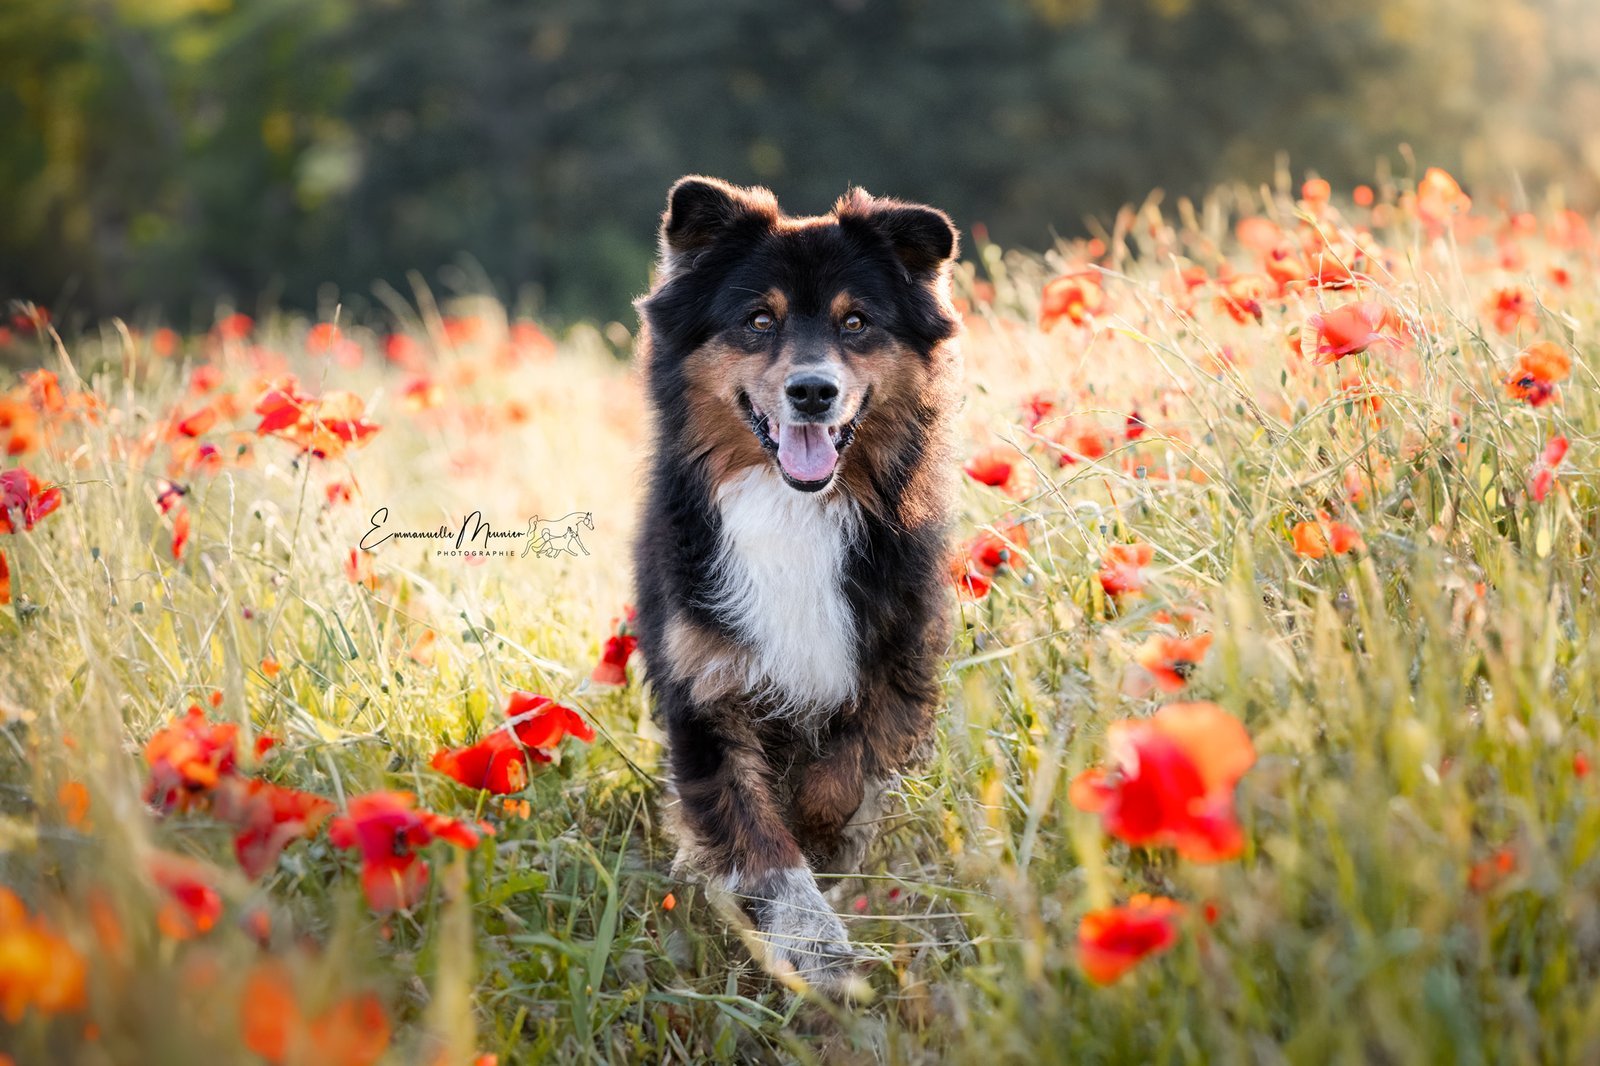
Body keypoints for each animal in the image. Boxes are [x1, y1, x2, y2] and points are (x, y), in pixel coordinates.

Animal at [633, 176, 960, 985]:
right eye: (758, 321)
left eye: (856, 322)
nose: (813, 391)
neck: (794, 506)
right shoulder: (704, 685)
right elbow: (759, 837)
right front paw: (815, 949)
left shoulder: (896, 656)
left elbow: (842, 773)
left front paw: (827, 839)